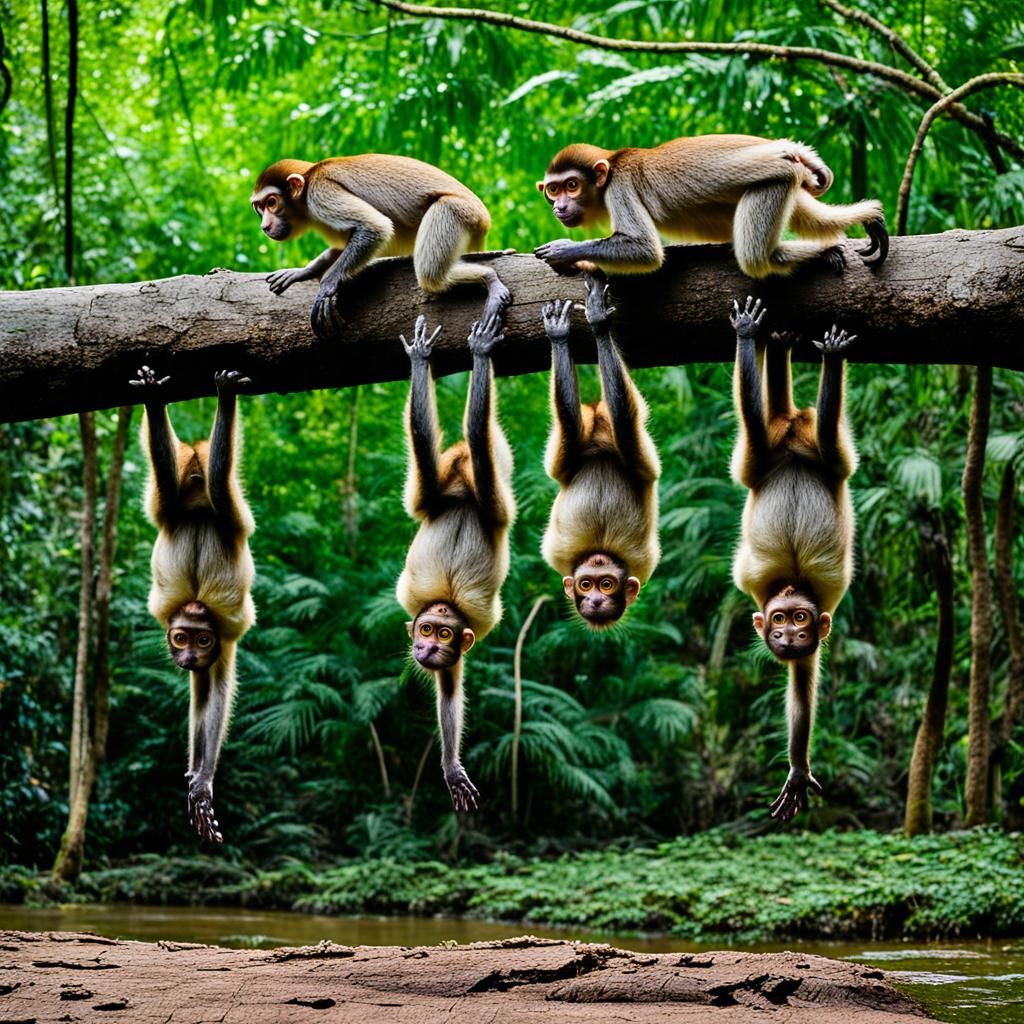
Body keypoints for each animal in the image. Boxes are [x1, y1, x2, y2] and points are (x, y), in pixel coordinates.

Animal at [129, 365, 256, 843]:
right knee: (171, 488)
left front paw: (201, 781)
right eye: (181, 639)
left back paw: (220, 407)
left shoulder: (222, 640)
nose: (187, 657)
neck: (197, 607)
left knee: (219, 489)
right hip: (174, 500)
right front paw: (198, 781)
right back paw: (157, 404)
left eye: (199, 642)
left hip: (232, 517)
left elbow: (212, 697)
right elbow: (203, 699)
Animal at [251, 155, 511, 338]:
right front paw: (303, 271)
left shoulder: (320, 191)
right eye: (259, 208)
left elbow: (375, 228)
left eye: (272, 203)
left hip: (457, 211)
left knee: (430, 274)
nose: (264, 226)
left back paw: (489, 278)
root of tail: (483, 218)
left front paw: (326, 287)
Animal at [534, 135, 888, 279]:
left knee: (755, 256)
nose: (559, 207)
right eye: (553, 190)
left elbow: (645, 250)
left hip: (776, 176)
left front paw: (565, 251)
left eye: (571, 186)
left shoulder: (620, 186)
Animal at [540, 272, 661, 627]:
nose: (594, 601)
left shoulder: (642, 563)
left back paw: (593, 325)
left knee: (622, 421)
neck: (599, 551)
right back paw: (577, 329)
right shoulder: (559, 556)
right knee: (575, 423)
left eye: (606, 585)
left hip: (638, 456)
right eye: (586, 585)